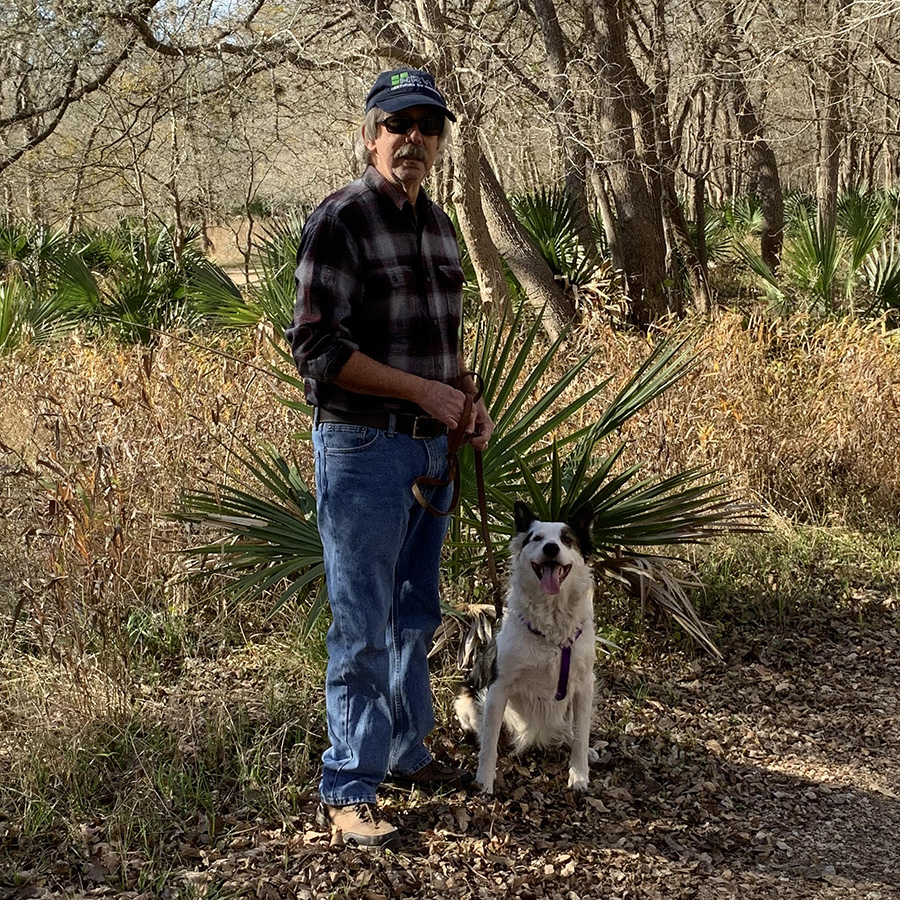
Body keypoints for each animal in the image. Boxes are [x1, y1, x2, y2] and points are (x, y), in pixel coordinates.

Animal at [458, 500, 596, 796]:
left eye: (567, 539)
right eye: (537, 538)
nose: (551, 548)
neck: (552, 630)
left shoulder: (584, 685)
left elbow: (581, 734)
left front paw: (579, 774)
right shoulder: (498, 687)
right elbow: (489, 742)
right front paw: (484, 779)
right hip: (466, 699)